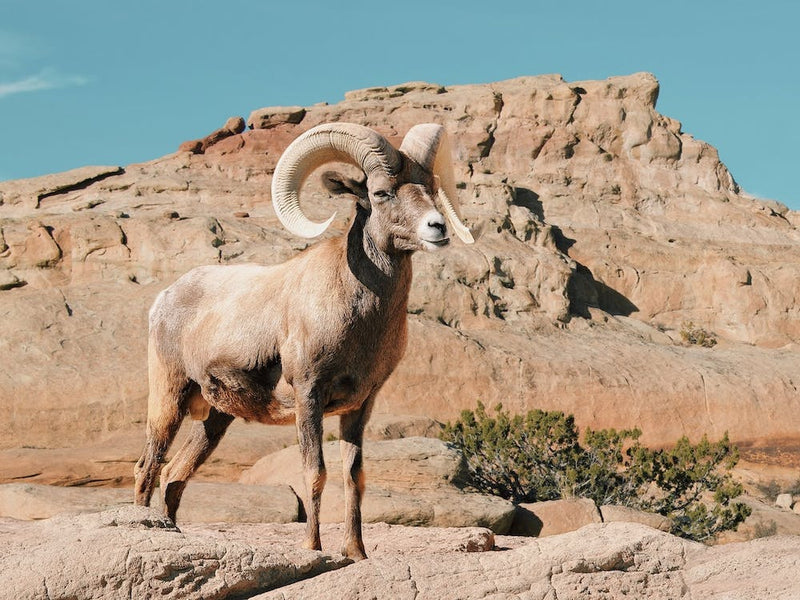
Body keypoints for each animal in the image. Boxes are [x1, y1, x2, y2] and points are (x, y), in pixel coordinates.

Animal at [133, 122, 474, 560]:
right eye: (382, 192)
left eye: (431, 188)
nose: (438, 228)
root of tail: (166, 297)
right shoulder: (309, 395)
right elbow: (315, 473)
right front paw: (313, 549)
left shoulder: (360, 406)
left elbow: (353, 477)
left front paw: (356, 552)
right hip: (169, 397)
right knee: (149, 467)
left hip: (215, 417)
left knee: (175, 474)